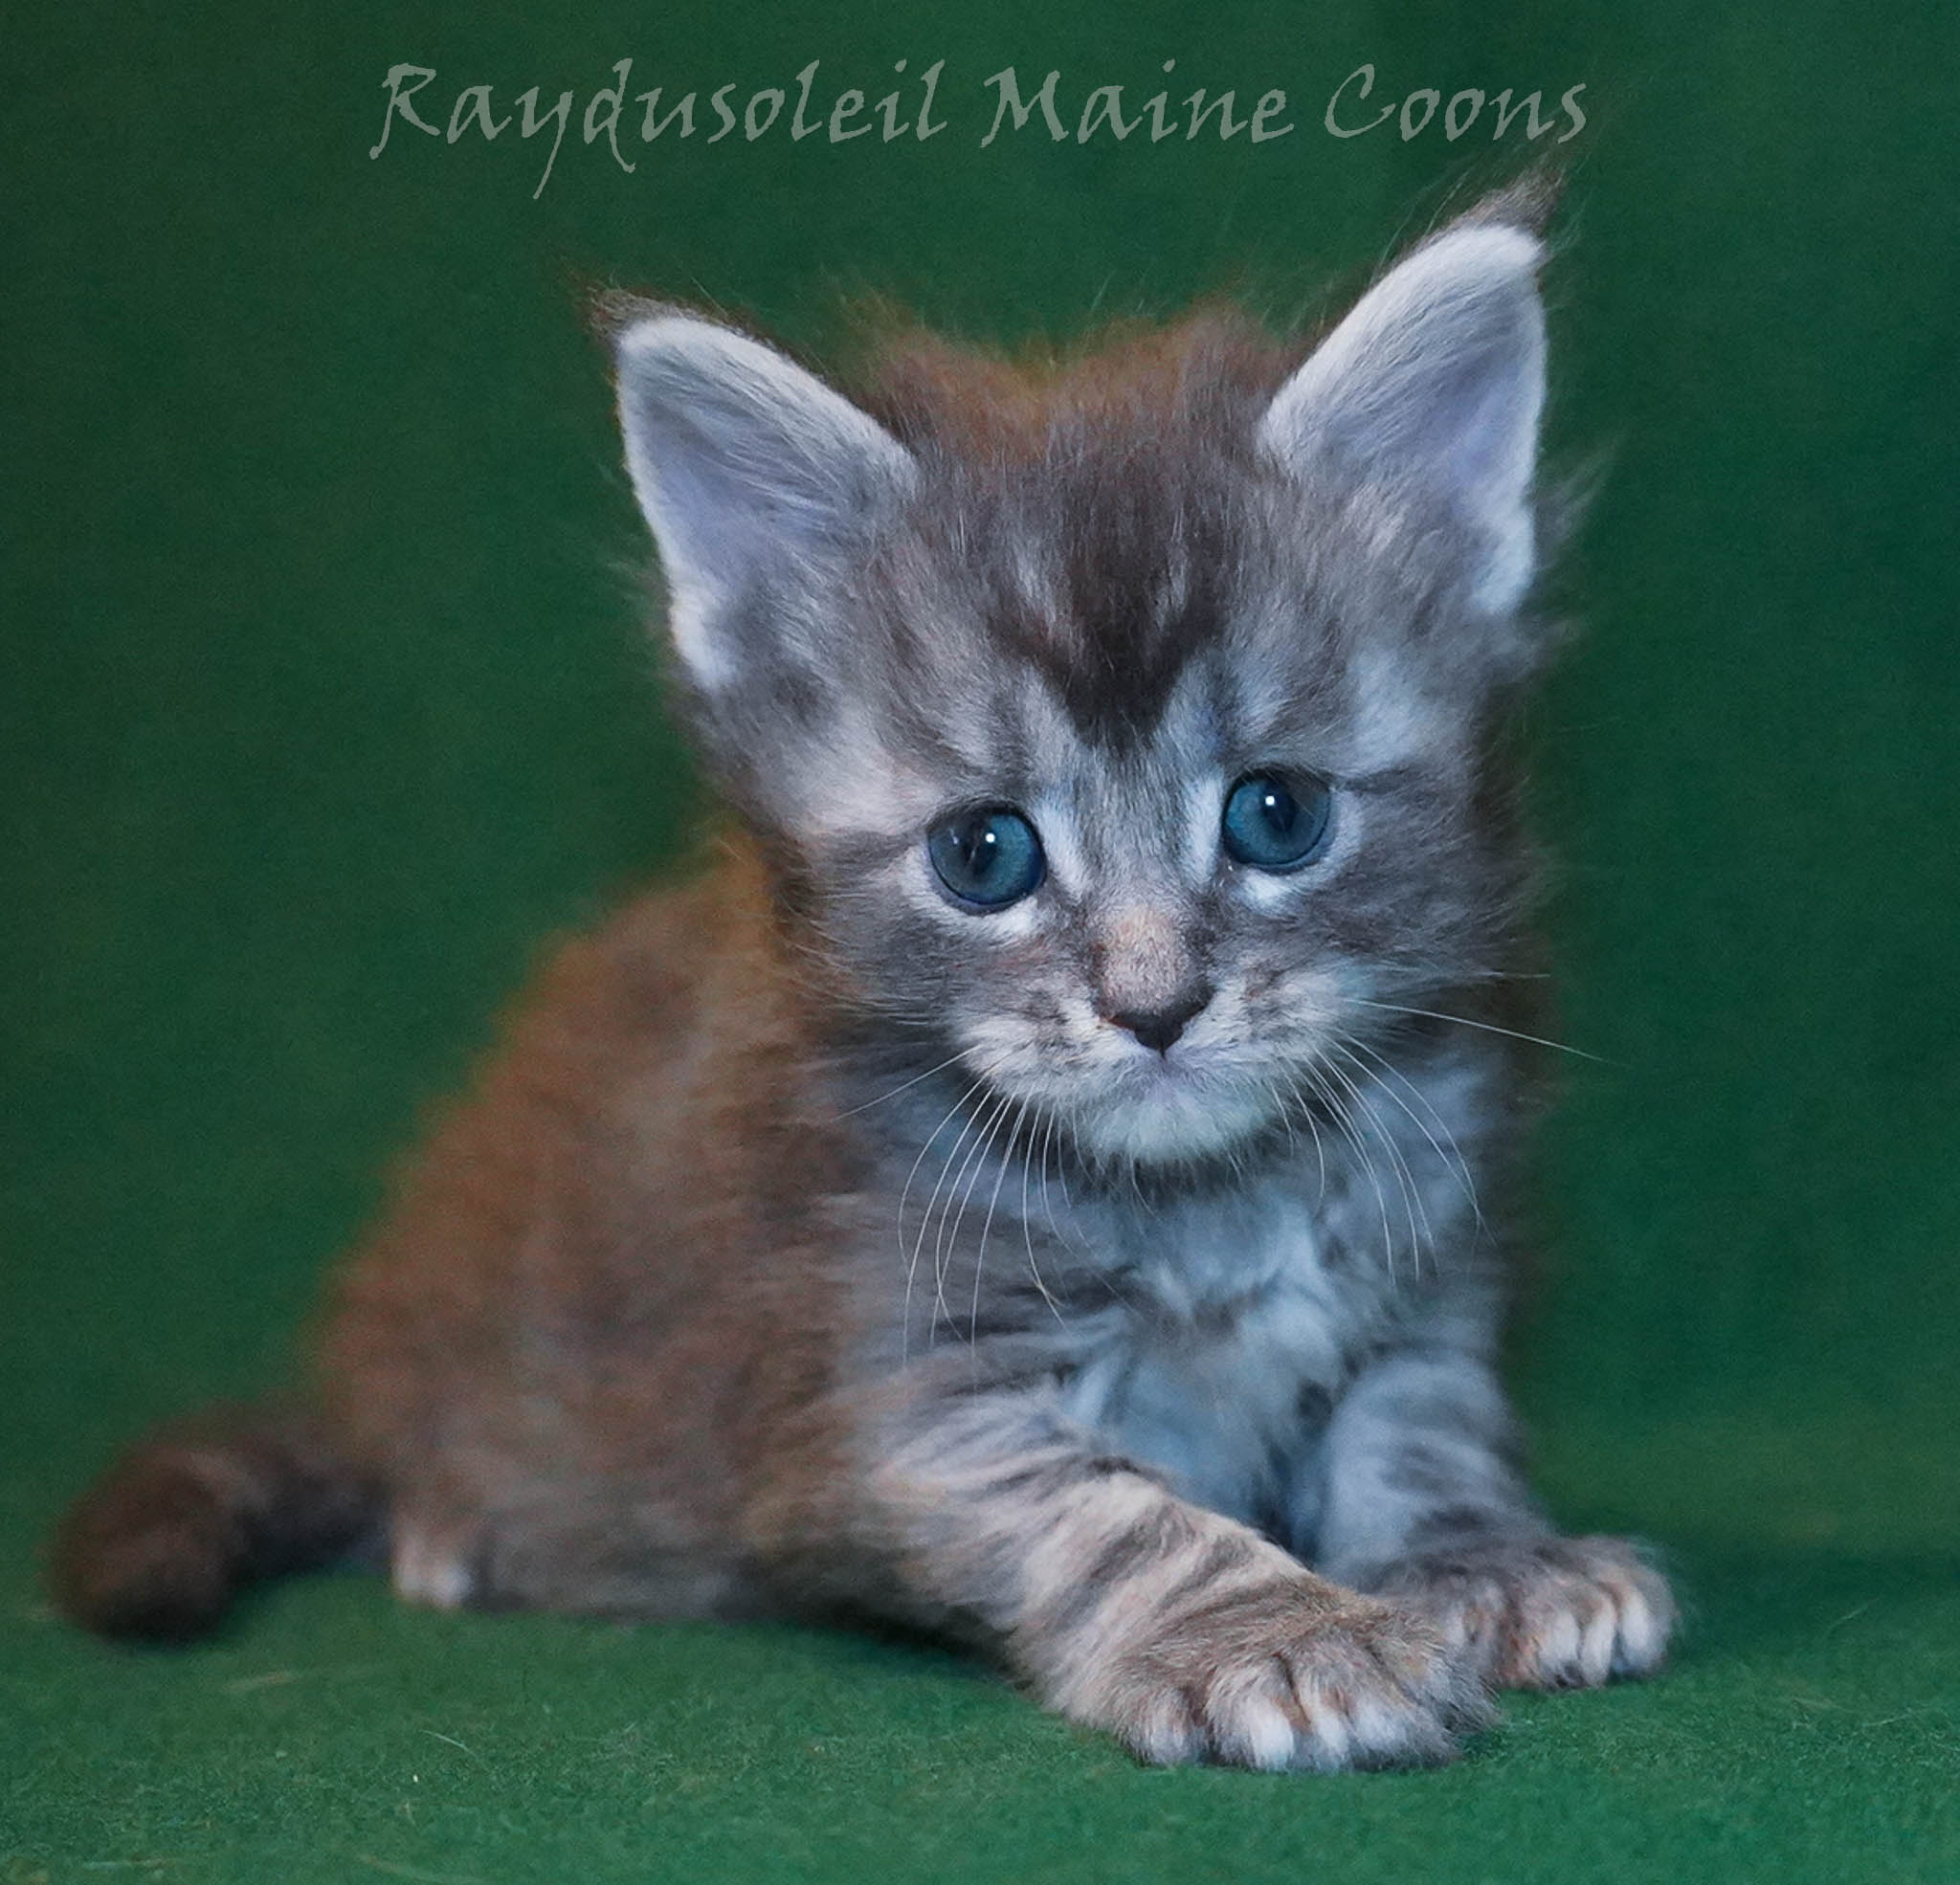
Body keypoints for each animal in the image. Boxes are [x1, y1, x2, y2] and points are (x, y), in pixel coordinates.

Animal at [50, 177, 1674, 1771]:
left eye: (1277, 814)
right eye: (984, 854)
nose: (1152, 1005)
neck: (1195, 1207)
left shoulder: (1425, 1281)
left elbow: (1424, 1427)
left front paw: (1487, 1562)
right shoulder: (888, 1386)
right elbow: (1116, 1515)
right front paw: (1280, 1631)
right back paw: (460, 1523)